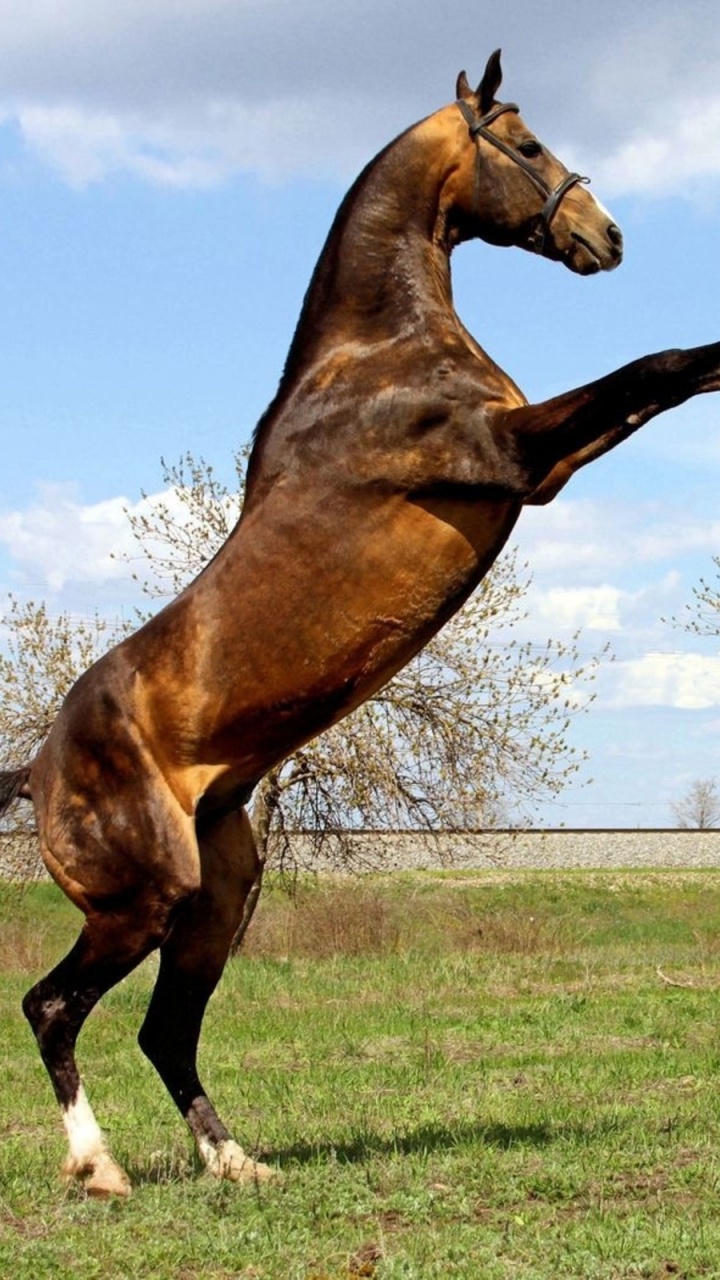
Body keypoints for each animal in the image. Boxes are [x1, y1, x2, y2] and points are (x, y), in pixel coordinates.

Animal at [2, 49, 720, 1198]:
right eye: (526, 144)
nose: (607, 236)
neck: (377, 354)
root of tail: (34, 771)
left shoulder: (545, 468)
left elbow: (667, 381)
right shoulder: (509, 454)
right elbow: (658, 365)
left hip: (218, 898)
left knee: (166, 1029)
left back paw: (236, 1161)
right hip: (141, 898)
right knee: (52, 1005)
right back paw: (99, 1167)